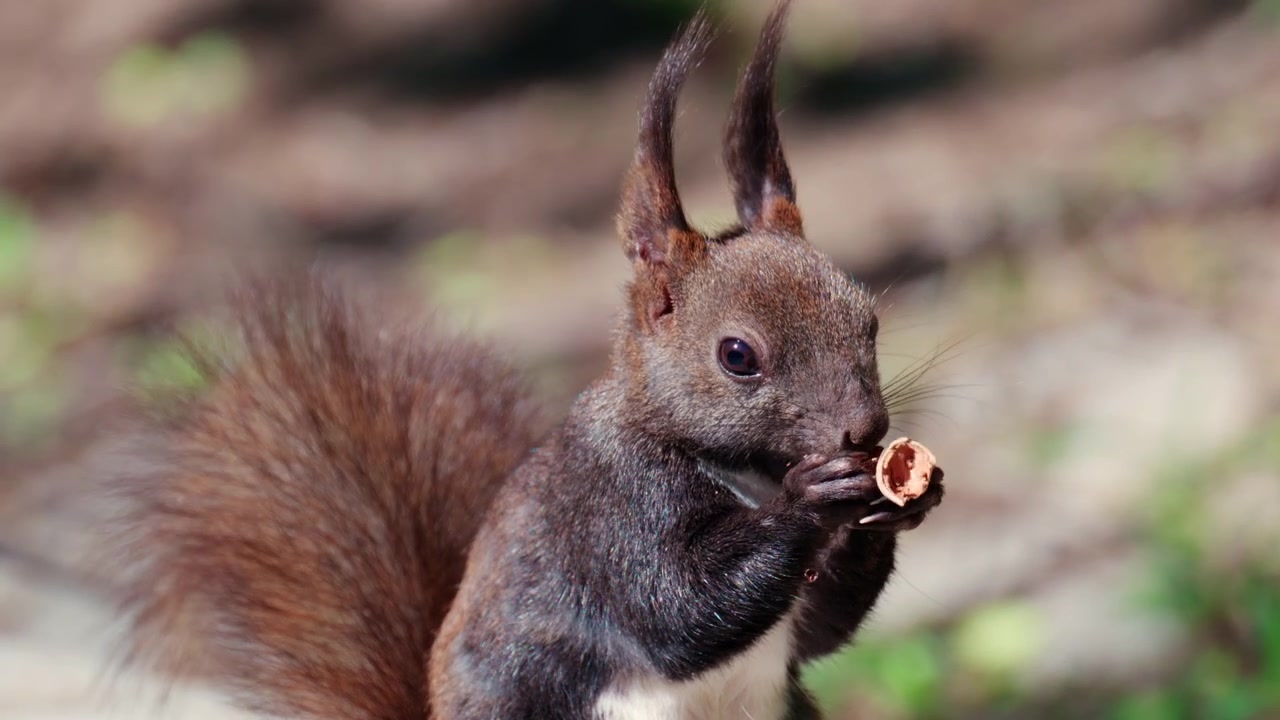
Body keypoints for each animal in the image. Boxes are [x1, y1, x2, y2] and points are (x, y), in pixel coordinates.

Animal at [50, 2, 945, 719]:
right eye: (737, 356)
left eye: (868, 319)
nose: (865, 429)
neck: (742, 470)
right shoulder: (603, 517)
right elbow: (677, 611)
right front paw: (813, 501)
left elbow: (822, 627)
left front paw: (899, 506)